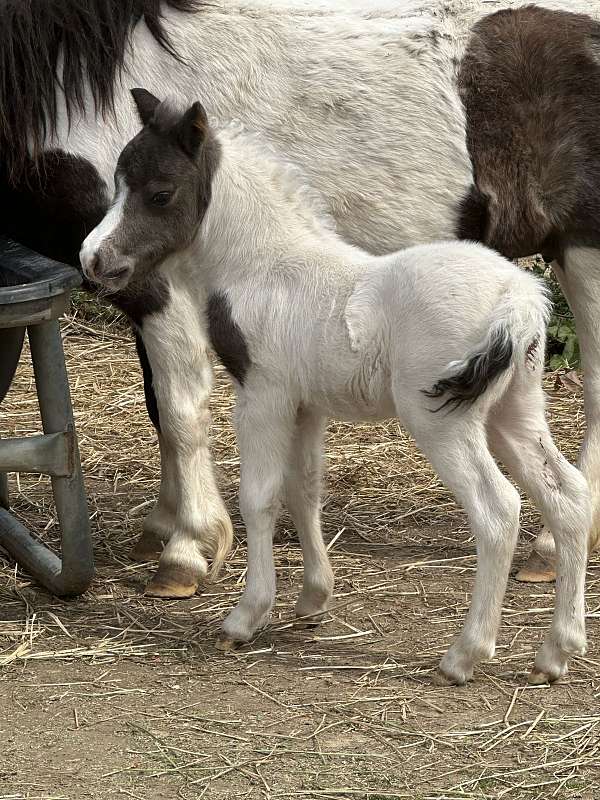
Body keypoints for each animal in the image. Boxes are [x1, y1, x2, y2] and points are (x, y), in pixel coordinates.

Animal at [1, 0, 600, 596]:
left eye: (159, 194)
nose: (91, 258)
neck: (72, 82)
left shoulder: (159, 291)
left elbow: (179, 410)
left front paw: (188, 547)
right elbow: (157, 407)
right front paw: (162, 525)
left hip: (584, 256)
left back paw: (553, 546)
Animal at [83, 90, 592, 684]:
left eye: (160, 193)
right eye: (117, 182)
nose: (92, 258)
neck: (265, 266)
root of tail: (520, 299)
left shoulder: (263, 395)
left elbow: (259, 497)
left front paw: (245, 617)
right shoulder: (307, 406)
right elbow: (304, 489)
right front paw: (312, 599)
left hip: (444, 420)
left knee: (498, 512)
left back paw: (465, 654)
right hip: (515, 409)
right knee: (567, 496)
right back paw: (557, 651)